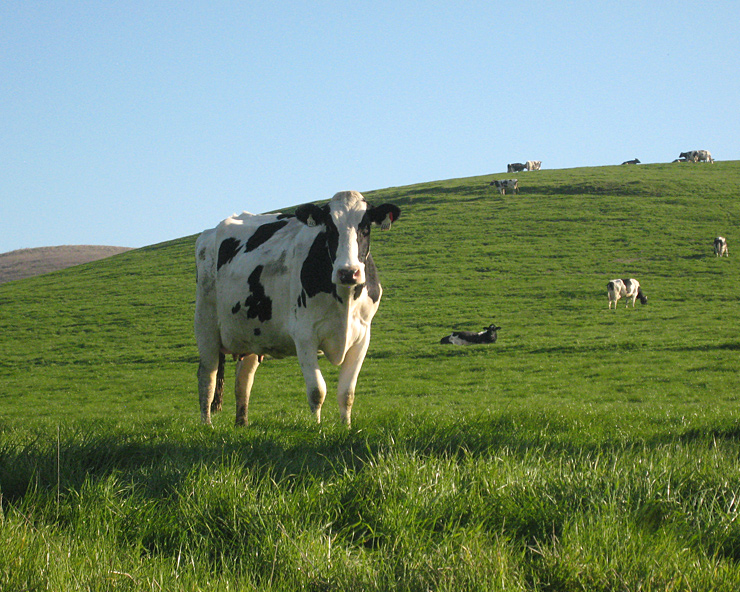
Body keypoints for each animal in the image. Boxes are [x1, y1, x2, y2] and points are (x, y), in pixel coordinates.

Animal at [194, 192, 402, 428]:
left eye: (365, 227)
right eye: (329, 227)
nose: (348, 272)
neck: (345, 299)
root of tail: (210, 232)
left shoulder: (362, 336)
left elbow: (347, 393)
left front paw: (346, 427)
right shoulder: (304, 335)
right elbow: (317, 391)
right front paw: (316, 427)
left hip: (251, 332)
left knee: (243, 379)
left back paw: (242, 424)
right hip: (206, 324)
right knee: (207, 376)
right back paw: (207, 424)